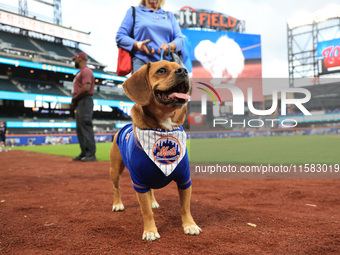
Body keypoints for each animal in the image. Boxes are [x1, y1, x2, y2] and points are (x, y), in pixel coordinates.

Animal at [109, 60, 201, 241]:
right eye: (162, 70)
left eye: (180, 67)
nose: (184, 71)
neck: (164, 129)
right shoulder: (139, 182)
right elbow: (146, 212)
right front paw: (150, 230)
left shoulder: (184, 179)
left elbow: (185, 207)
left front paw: (189, 225)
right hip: (115, 170)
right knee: (116, 188)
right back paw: (117, 204)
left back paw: (152, 201)